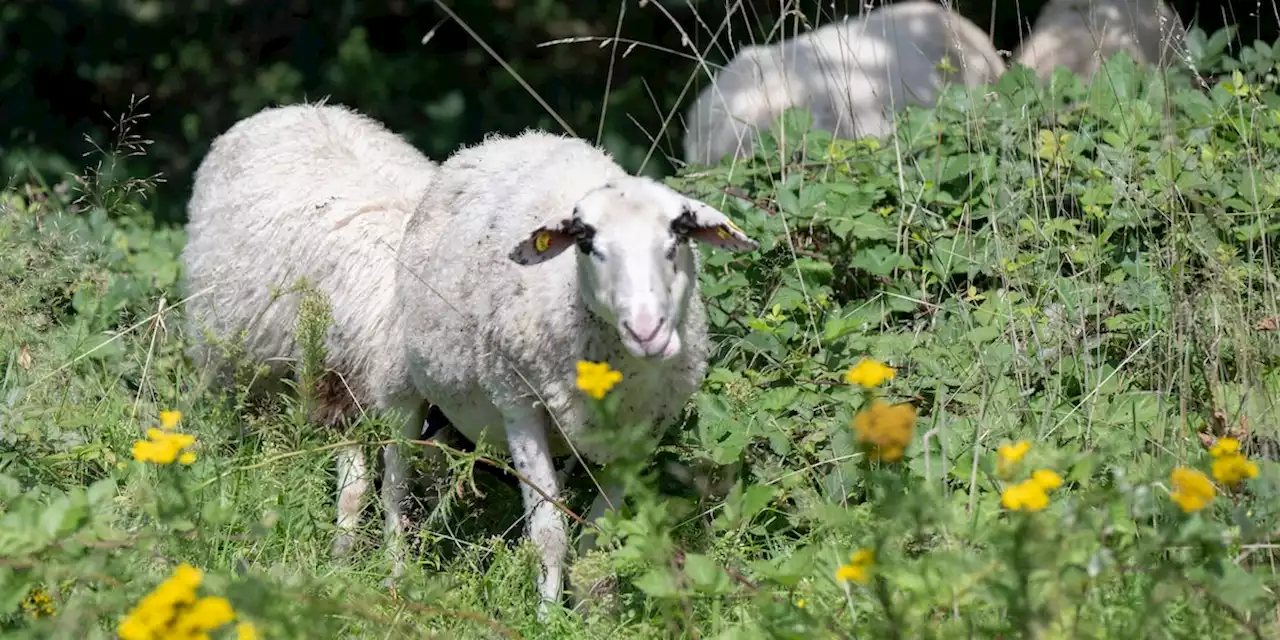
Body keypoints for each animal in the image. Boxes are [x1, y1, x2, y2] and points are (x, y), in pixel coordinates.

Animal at [177, 101, 440, 576]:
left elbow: (406, 480)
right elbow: (366, 487)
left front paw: (403, 556)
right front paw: (352, 560)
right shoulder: (346, 387)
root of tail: (295, 107)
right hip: (230, 353)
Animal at [384, 128, 752, 609]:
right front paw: (547, 614)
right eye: (586, 243)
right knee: (395, 478)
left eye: (679, 236)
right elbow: (549, 536)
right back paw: (394, 574)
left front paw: (595, 610)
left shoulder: (641, 434)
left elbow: (597, 537)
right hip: (404, 384)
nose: (647, 330)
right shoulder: (519, 405)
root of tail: (508, 139)